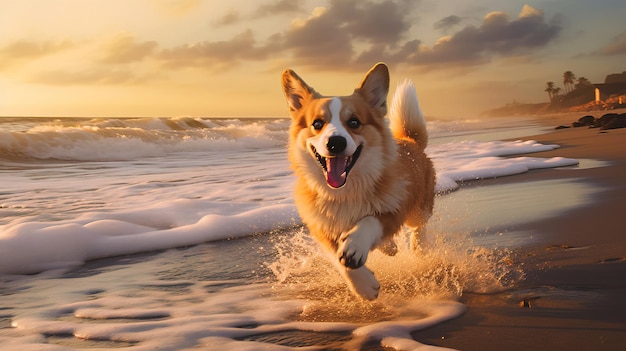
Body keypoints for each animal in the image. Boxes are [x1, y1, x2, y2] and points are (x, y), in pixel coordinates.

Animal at [280, 62, 432, 300]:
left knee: (419, 226)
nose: (335, 143)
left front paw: (355, 246)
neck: (344, 191)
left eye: (354, 122)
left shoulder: (393, 208)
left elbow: (370, 220)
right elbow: (337, 258)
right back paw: (389, 247)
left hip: (417, 211)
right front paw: (364, 285)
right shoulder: (322, 228)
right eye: (317, 123)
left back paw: (419, 247)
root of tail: (410, 140)